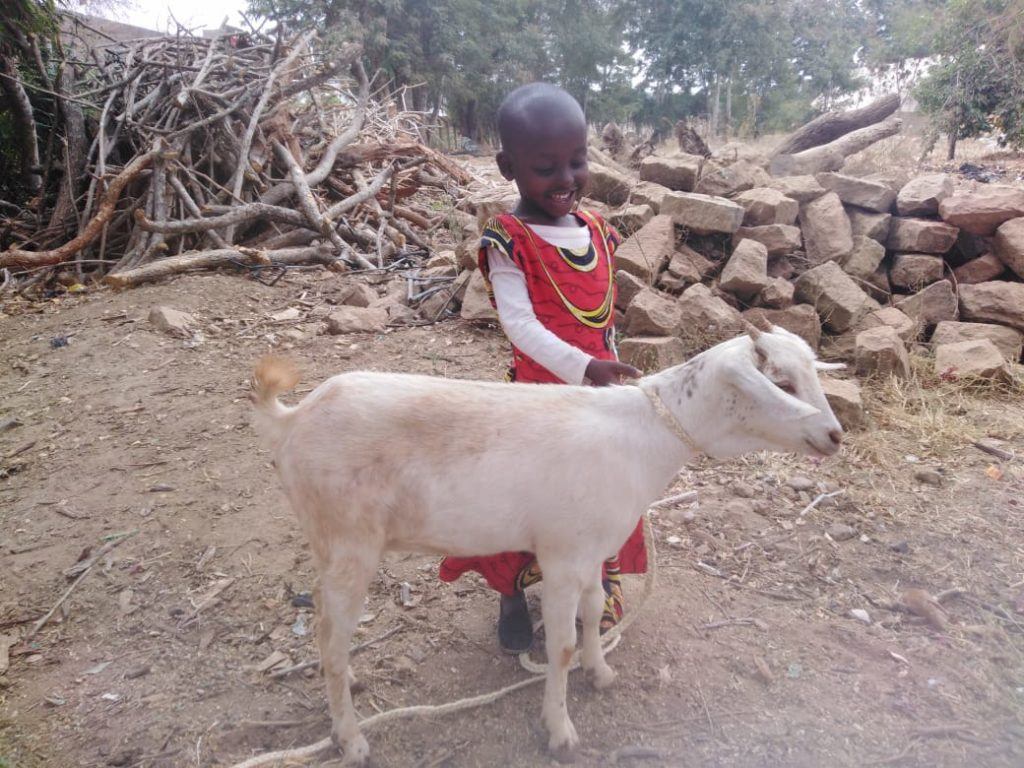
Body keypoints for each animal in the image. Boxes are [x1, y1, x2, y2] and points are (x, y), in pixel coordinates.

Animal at [251, 325, 843, 765]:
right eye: (782, 382)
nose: (835, 436)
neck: (644, 436)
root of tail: (292, 419)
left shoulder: (591, 551)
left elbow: (593, 611)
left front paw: (600, 672)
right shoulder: (561, 556)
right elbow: (558, 646)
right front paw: (560, 731)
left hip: (327, 542)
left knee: (326, 622)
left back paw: (349, 683)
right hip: (350, 542)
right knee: (330, 635)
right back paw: (351, 739)